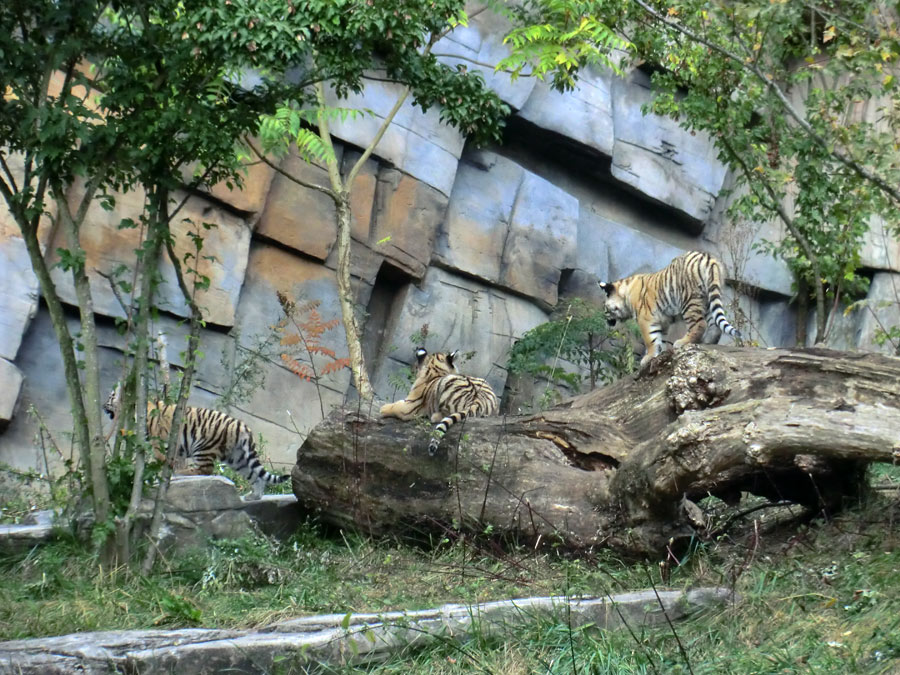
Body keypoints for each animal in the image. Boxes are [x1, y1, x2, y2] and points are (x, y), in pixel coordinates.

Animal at [105, 382, 288, 500]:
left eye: (111, 396)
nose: (102, 405)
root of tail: (242, 426)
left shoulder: (161, 443)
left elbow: (162, 459)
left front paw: (168, 472)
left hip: (203, 447)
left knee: (204, 470)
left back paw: (183, 474)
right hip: (237, 458)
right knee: (255, 476)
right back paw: (253, 496)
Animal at [600, 250, 740, 368]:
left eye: (605, 308)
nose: (606, 320)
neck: (626, 295)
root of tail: (707, 257)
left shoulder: (645, 320)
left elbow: (650, 340)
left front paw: (647, 358)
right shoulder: (663, 322)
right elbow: (659, 339)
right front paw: (659, 354)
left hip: (689, 299)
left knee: (699, 324)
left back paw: (683, 342)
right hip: (709, 299)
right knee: (714, 325)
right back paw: (707, 342)